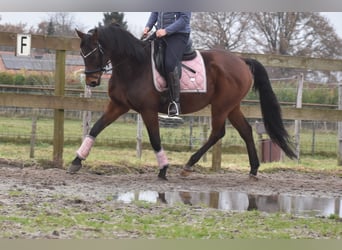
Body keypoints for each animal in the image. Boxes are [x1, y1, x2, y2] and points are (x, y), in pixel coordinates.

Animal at [67, 23, 296, 179]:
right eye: (82, 53)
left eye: (95, 52)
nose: (92, 81)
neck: (133, 65)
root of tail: (241, 60)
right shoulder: (118, 105)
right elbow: (95, 129)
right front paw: (76, 161)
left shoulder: (148, 110)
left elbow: (155, 139)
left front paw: (163, 169)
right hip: (232, 106)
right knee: (246, 131)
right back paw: (254, 169)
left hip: (221, 106)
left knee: (217, 132)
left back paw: (188, 165)